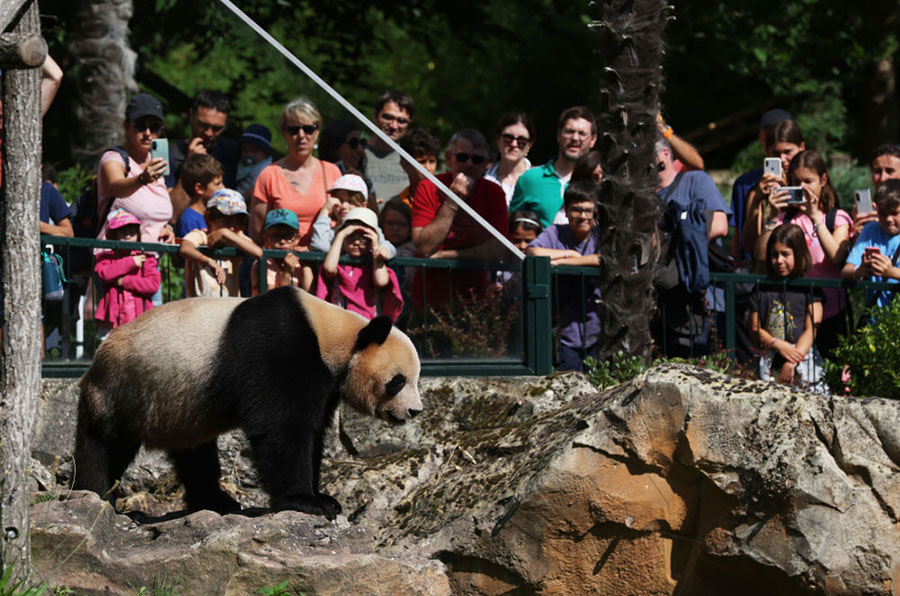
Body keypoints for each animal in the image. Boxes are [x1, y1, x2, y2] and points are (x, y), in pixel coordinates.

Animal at [74, 286, 422, 520]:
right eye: (398, 380)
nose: (414, 411)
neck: (334, 333)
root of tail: (95, 358)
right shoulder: (280, 347)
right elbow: (281, 427)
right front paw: (307, 502)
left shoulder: (326, 380)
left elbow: (312, 432)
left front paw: (323, 496)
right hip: (125, 388)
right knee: (104, 443)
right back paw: (97, 496)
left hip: (182, 404)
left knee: (195, 454)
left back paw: (218, 502)